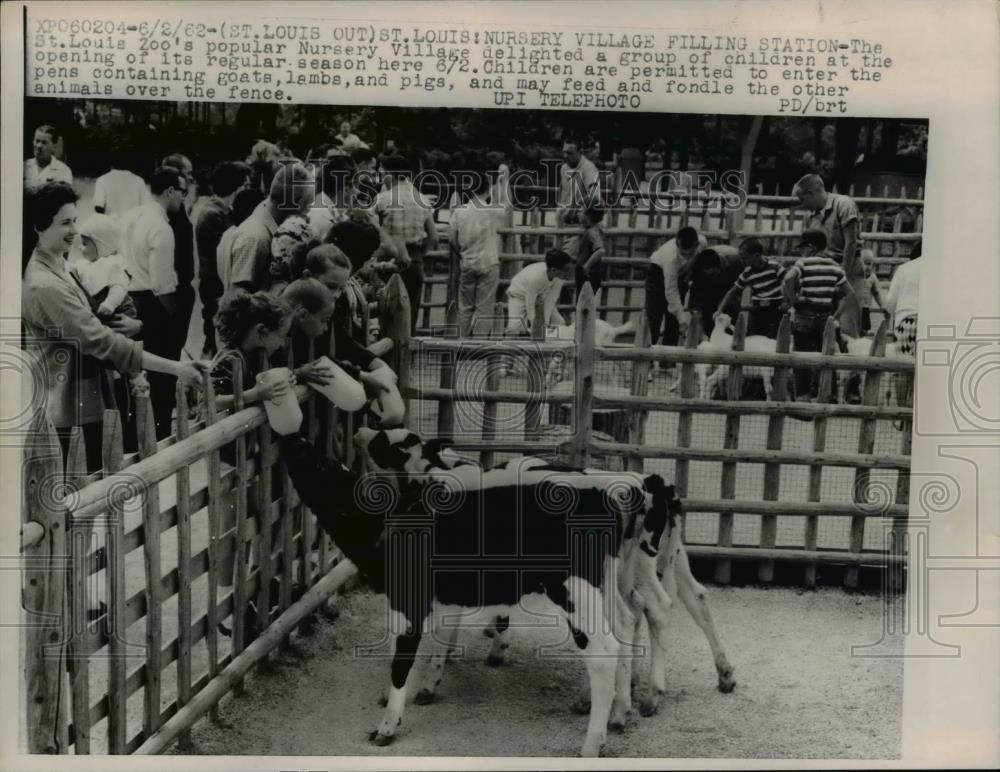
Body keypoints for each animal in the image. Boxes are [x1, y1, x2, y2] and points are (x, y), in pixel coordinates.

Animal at [280, 432, 672, 756]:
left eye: (322, 464)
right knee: (628, 622)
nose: (294, 438)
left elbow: (401, 661)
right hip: (608, 584)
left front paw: (388, 726)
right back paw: (618, 712)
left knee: (606, 649)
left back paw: (593, 741)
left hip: (577, 591)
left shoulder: (411, 599)